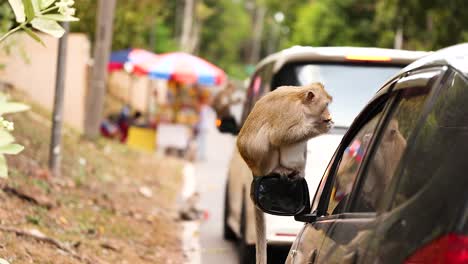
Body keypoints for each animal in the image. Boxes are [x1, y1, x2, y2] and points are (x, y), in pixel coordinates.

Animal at [238, 83, 332, 264]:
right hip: (262, 160)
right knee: (268, 138)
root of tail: (254, 169)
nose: (329, 116)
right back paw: (280, 169)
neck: (301, 102)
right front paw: (319, 127)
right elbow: (279, 136)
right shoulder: (291, 113)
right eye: (325, 105)